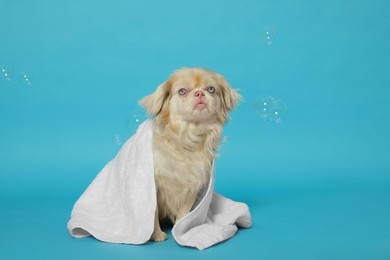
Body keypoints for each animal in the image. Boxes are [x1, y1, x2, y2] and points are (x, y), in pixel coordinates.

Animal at [139, 67, 239, 242]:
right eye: (182, 91)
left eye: (211, 89)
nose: (199, 93)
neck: (187, 137)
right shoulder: (155, 188)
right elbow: (154, 213)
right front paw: (156, 235)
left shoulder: (191, 186)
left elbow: (184, 213)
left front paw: (181, 229)